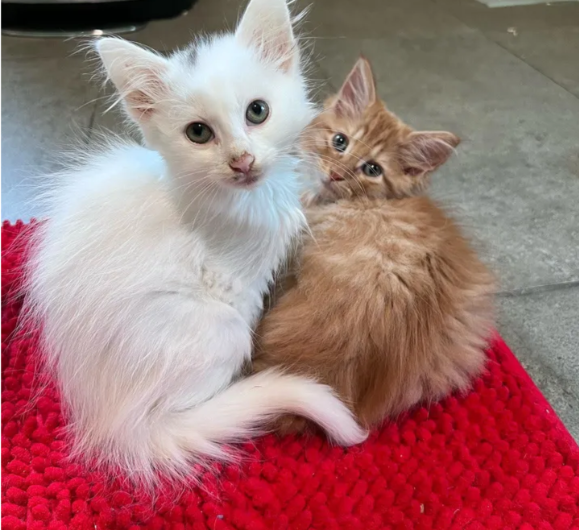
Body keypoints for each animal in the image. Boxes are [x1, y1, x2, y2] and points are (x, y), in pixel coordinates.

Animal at [26, 0, 368, 482]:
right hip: (221, 331)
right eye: (199, 133)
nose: (241, 160)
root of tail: (112, 419)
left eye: (257, 112)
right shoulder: (239, 279)